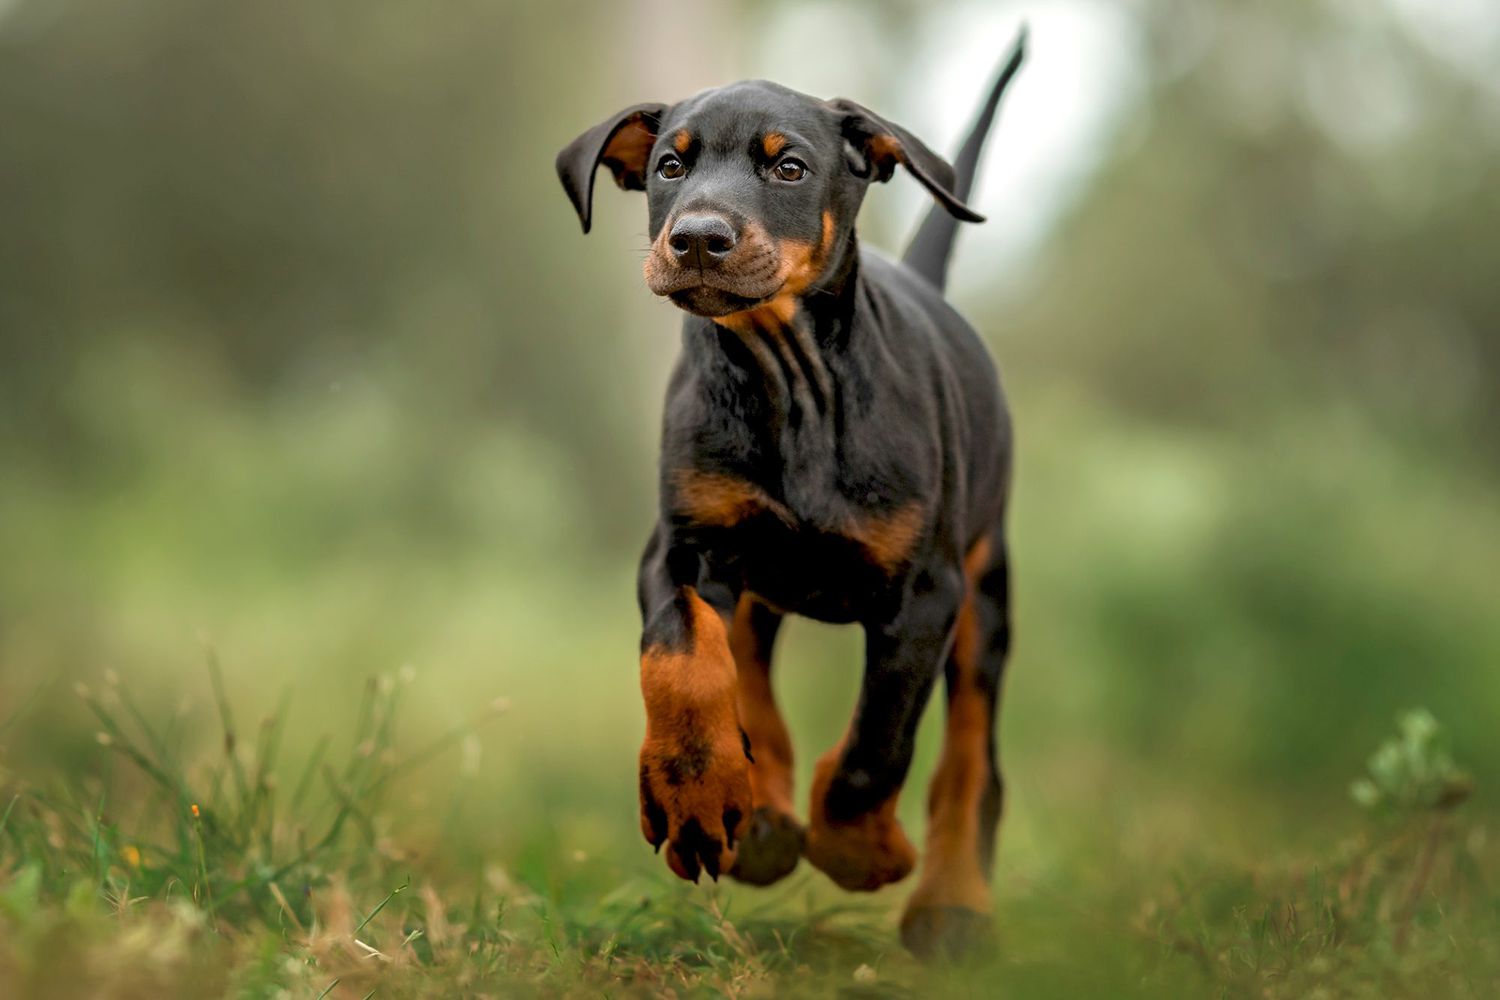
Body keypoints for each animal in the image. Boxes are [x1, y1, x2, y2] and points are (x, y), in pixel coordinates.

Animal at [558, 29, 1026, 953]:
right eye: (670, 165)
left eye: (789, 168)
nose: (698, 239)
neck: (789, 380)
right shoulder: (683, 548)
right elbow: (682, 661)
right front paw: (696, 796)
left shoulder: (926, 594)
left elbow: (876, 745)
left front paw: (859, 852)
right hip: (755, 575)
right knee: (745, 665)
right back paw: (762, 815)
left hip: (985, 592)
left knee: (970, 754)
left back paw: (951, 904)